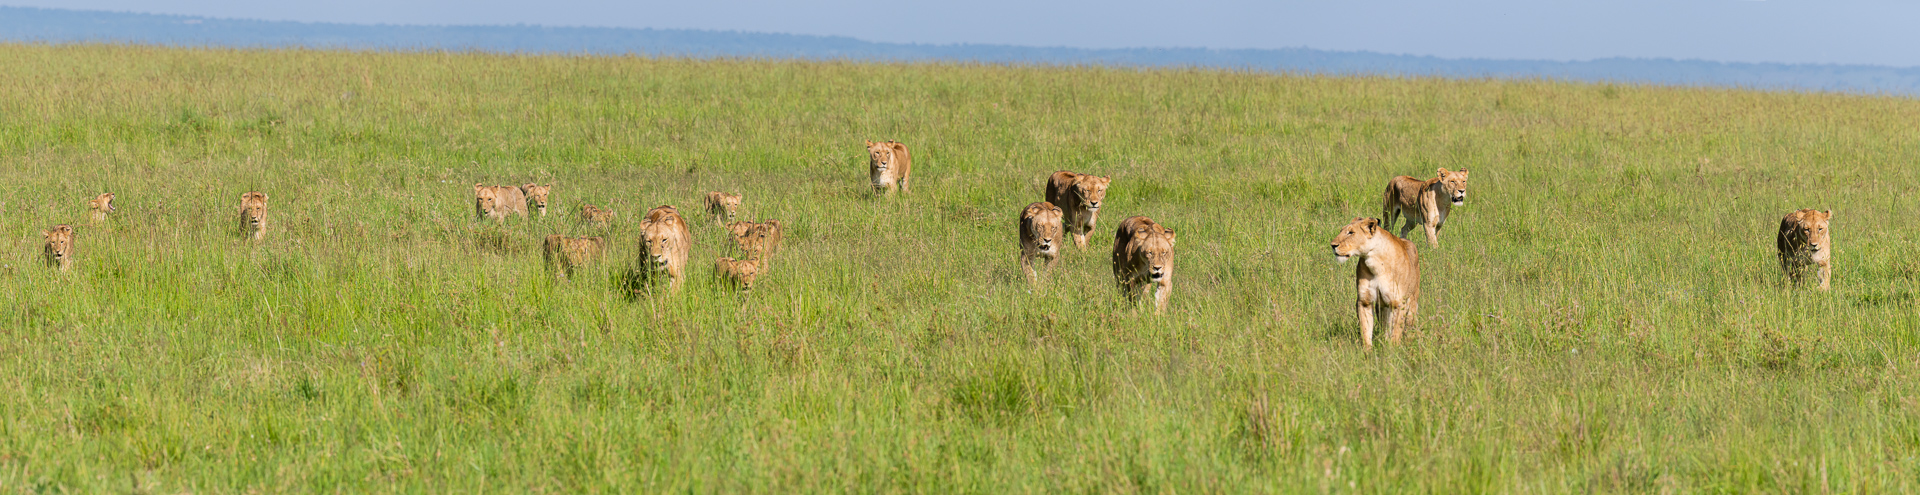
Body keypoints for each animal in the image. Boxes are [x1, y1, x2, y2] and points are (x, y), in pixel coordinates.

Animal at [1336, 216, 1428, 347]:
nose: (1333, 245)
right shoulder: (1365, 300)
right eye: (1341, 231)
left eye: (1351, 232)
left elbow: (1396, 330)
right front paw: (1367, 350)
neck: (1375, 262)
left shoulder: (1398, 302)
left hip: (1412, 301)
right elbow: (1366, 329)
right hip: (1382, 306)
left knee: (1409, 323)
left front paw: (1393, 349)